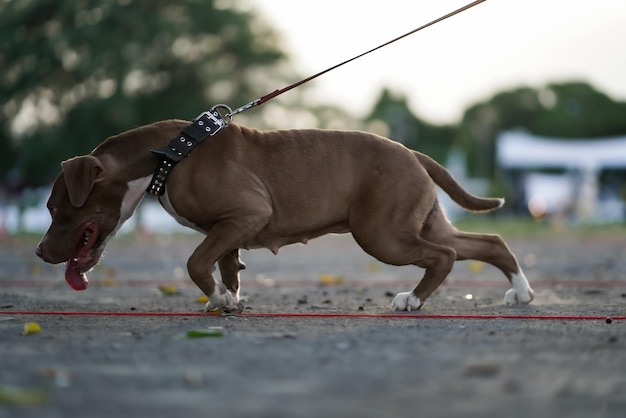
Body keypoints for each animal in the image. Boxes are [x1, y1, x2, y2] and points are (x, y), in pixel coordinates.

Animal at [35, 120, 532, 310]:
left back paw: (413, 299)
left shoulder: (246, 213)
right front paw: (229, 298)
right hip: (418, 222)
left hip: (382, 234)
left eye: (56, 207)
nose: (39, 252)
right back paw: (523, 293)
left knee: (444, 256)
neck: (168, 156)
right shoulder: (228, 229)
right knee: (484, 243)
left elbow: (196, 262)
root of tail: (413, 153)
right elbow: (224, 264)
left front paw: (218, 298)